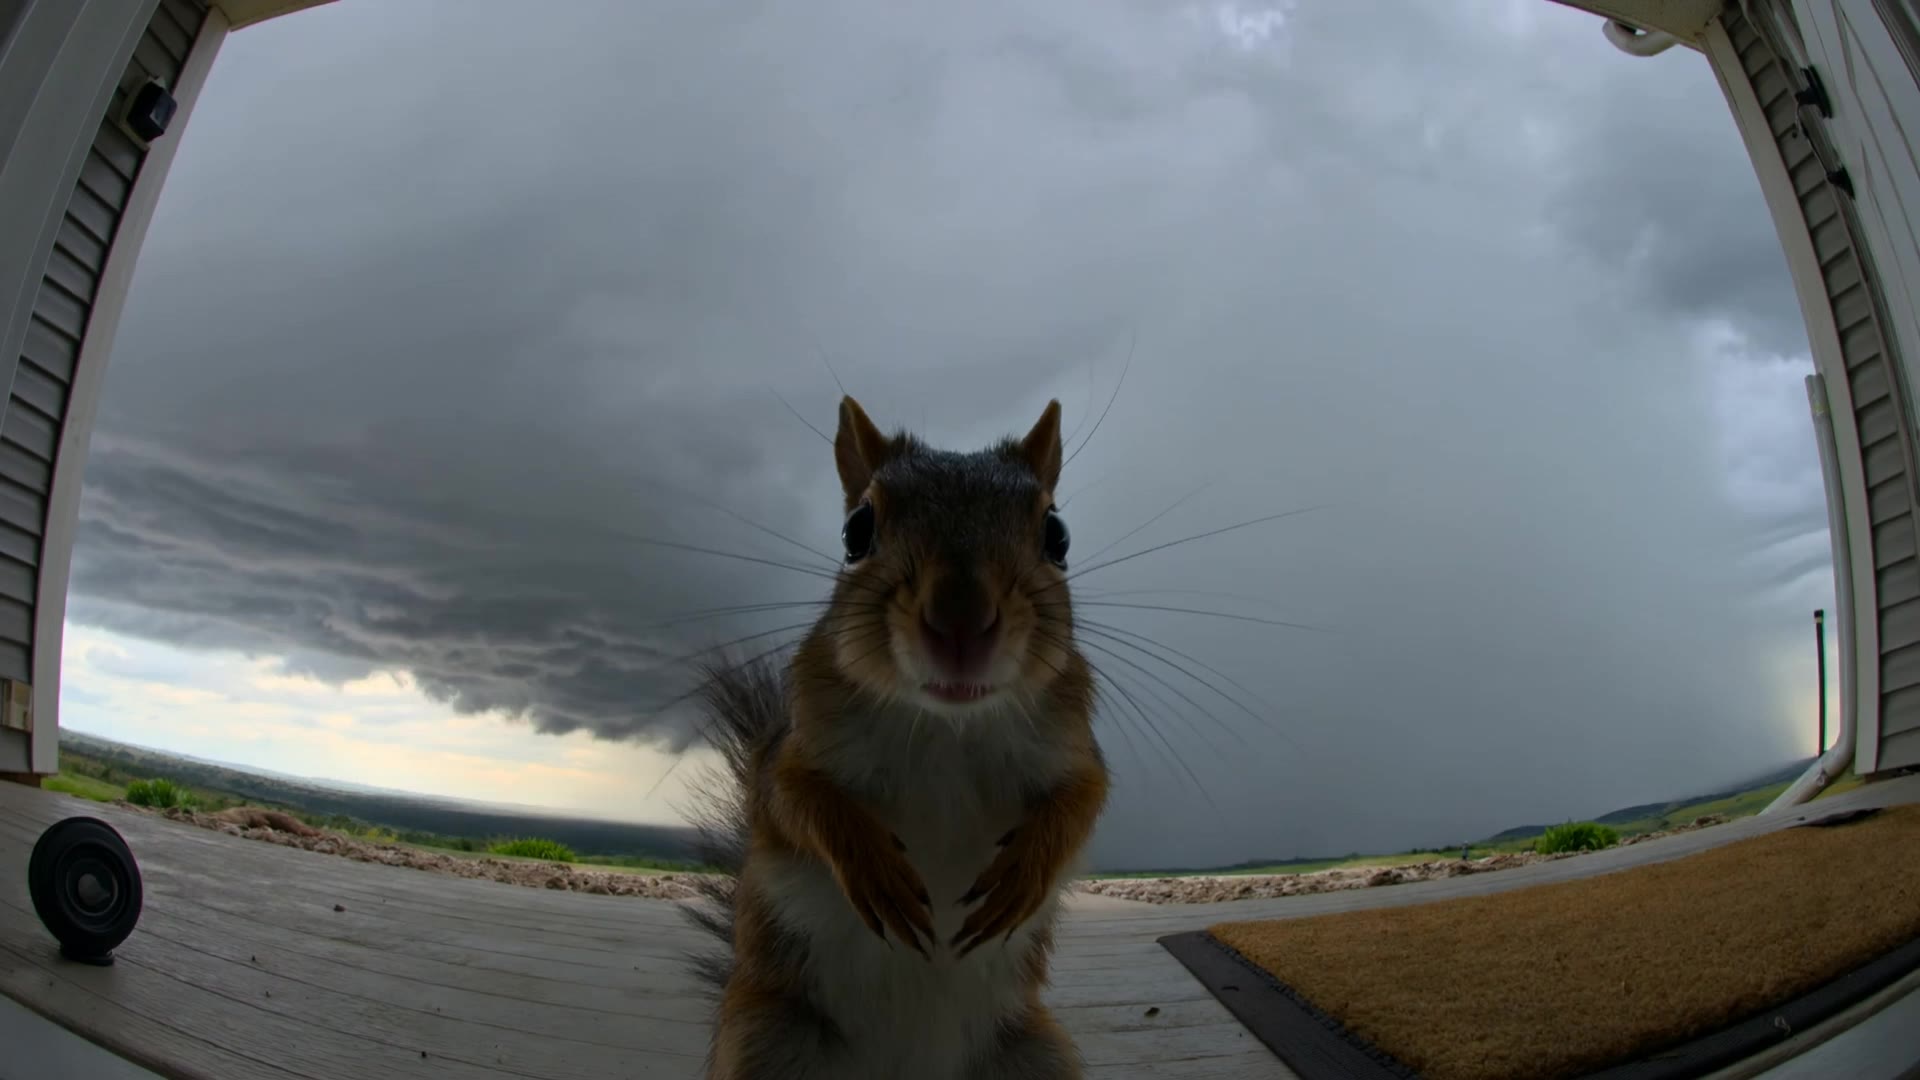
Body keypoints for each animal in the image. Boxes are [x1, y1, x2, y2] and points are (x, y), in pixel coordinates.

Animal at [680, 394, 1111, 1080]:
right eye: (857, 532)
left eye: (1058, 536)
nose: (960, 620)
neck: (946, 726)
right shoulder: (793, 744)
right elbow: (789, 798)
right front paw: (873, 868)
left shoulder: (1072, 740)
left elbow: (1085, 797)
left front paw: (1024, 875)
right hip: (761, 1038)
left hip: (1037, 1052)